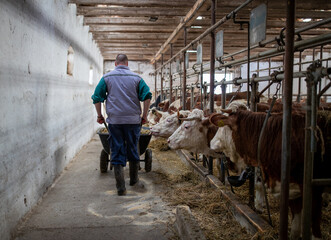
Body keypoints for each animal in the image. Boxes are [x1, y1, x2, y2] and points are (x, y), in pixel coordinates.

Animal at [210, 109, 331, 239]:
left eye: (221, 127)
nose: (211, 143)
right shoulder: (293, 190)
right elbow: (295, 227)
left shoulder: (312, 189)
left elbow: (314, 231)